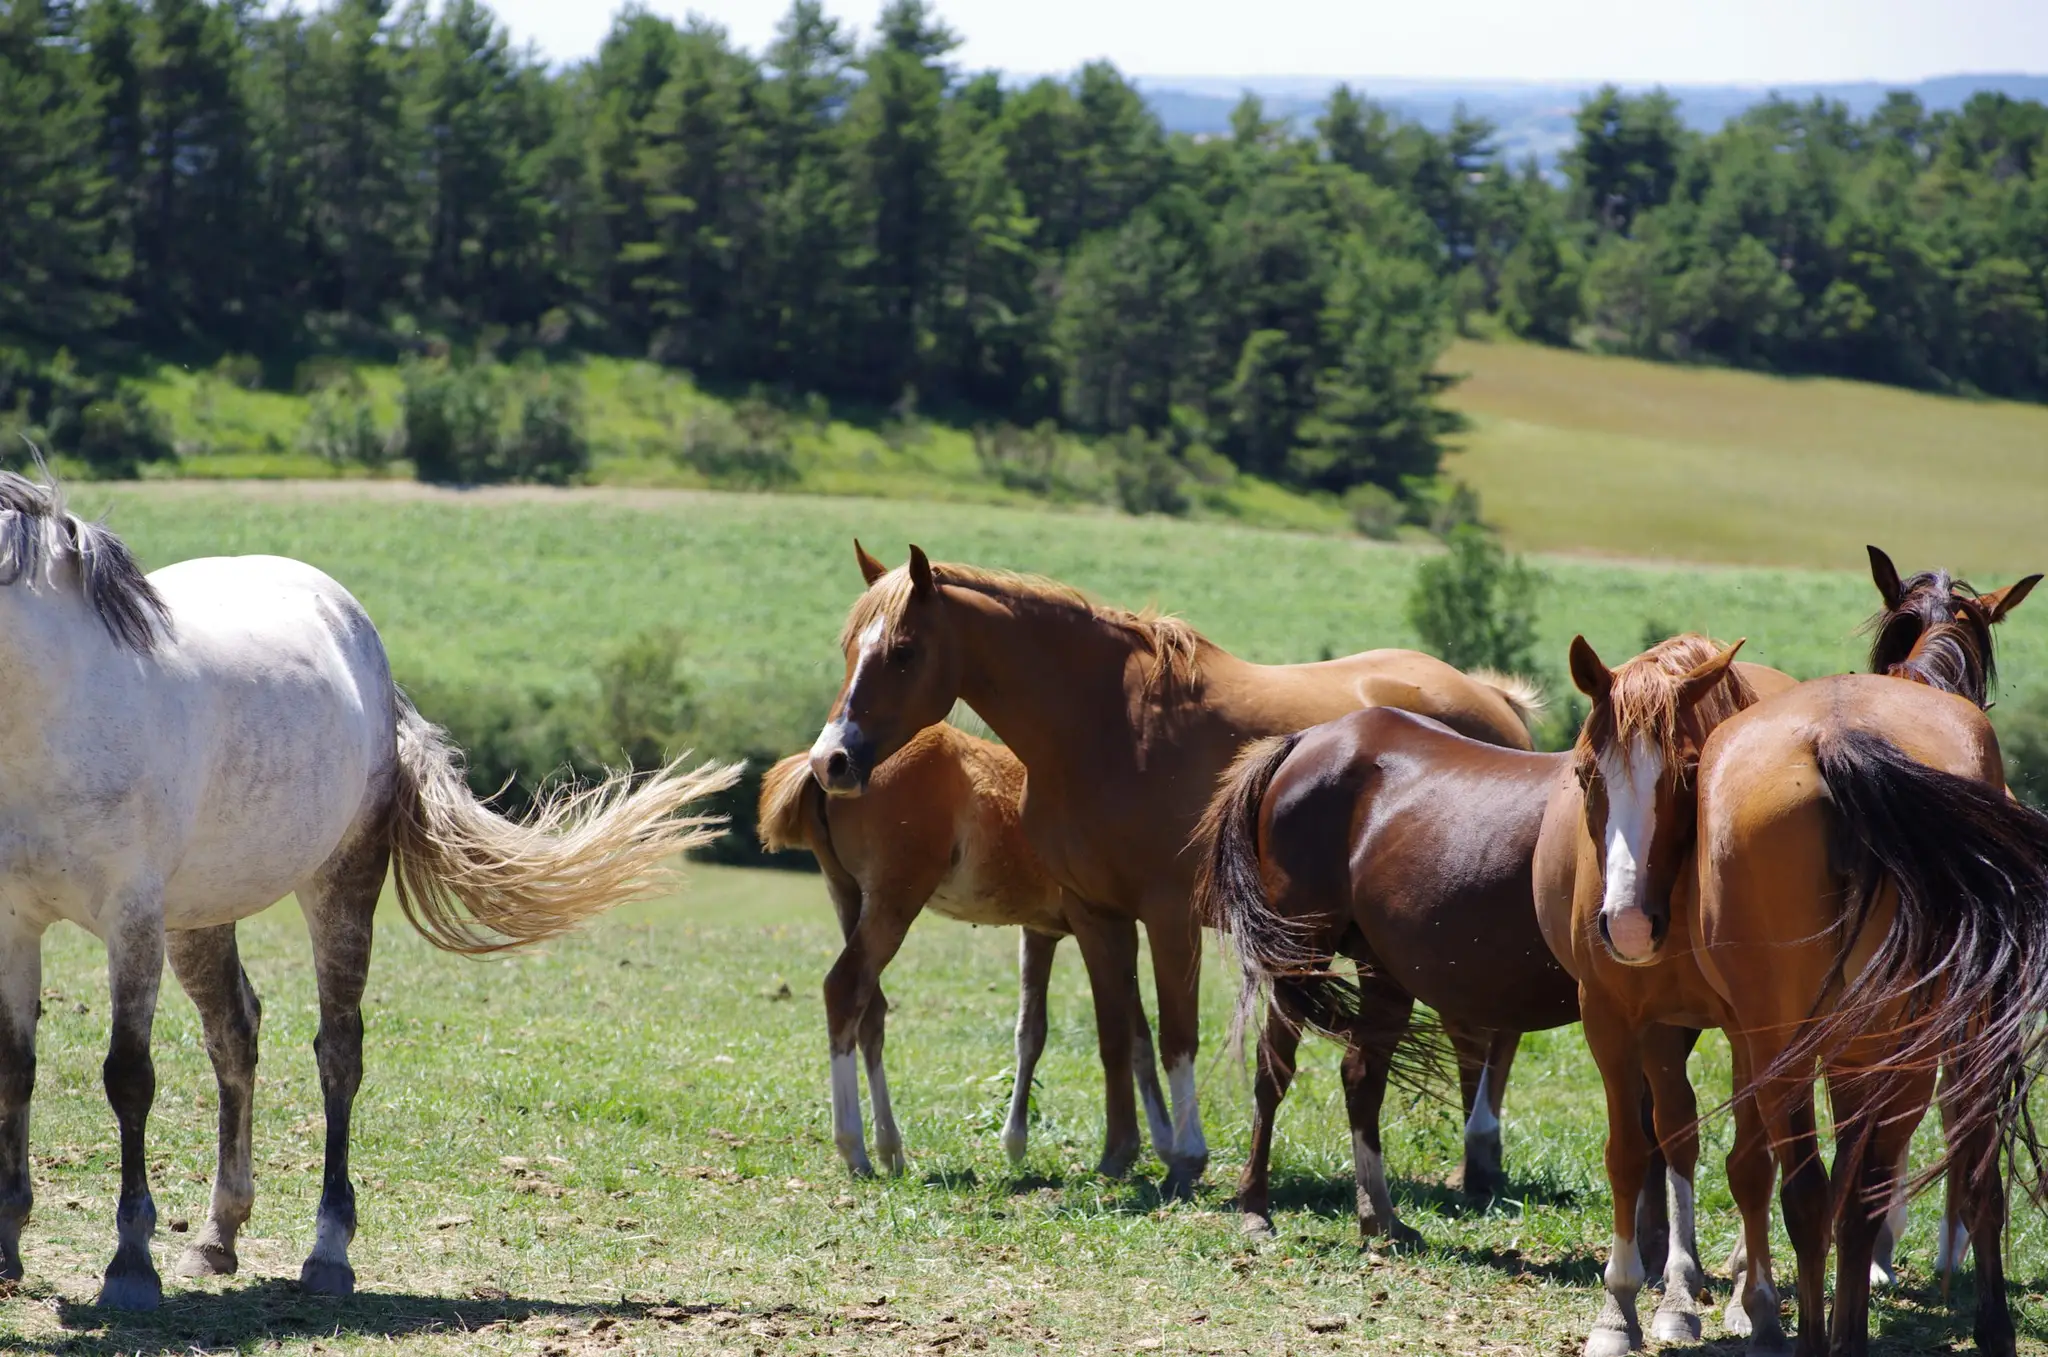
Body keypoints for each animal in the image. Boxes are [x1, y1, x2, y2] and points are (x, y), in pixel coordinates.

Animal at [0, 472, 741, 1309]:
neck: (58, 711)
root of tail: (364, 640)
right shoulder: (14, 919)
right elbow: (15, 1066)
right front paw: (7, 1245)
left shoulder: (131, 921)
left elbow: (129, 1077)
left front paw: (130, 1264)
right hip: (199, 914)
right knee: (234, 1034)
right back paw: (217, 1236)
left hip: (339, 883)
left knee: (338, 1051)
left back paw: (327, 1251)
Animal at [758, 725, 1174, 1178]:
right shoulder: (1104, 924)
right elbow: (1135, 1033)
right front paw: (1162, 1142)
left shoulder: (1040, 931)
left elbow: (1032, 1031)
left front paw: (1014, 1141)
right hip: (893, 899)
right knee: (845, 989)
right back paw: (855, 1149)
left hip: (847, 896)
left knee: (870, 1010)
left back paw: (890, 1148)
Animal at [806, 542, 1543, 1191]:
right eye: (847, 649)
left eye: (902, 651)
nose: (830, 761)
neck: (1105, 724)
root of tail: (1490, 701)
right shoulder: (1098, 918)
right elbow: (1116, 1036)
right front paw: (1118, 1154)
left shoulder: (1169, 917)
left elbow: (1174, 1036)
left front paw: (1186, 1156)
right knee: (1478, 1035)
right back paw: (1476, 1161)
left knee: (1492, 1034)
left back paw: (1479, 1149)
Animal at [1197, 635, 1782, 1247]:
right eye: (1585, 774)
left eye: (1690, 770)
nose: (1628, 923)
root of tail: (1306, 742)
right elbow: (1649, 1130)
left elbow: (1654, 1126)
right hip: (1302, 953)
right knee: (1274, 1069)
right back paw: (1255, 1206)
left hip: (1383, 970)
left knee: (1361, 1076)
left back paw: (1380, 1217)